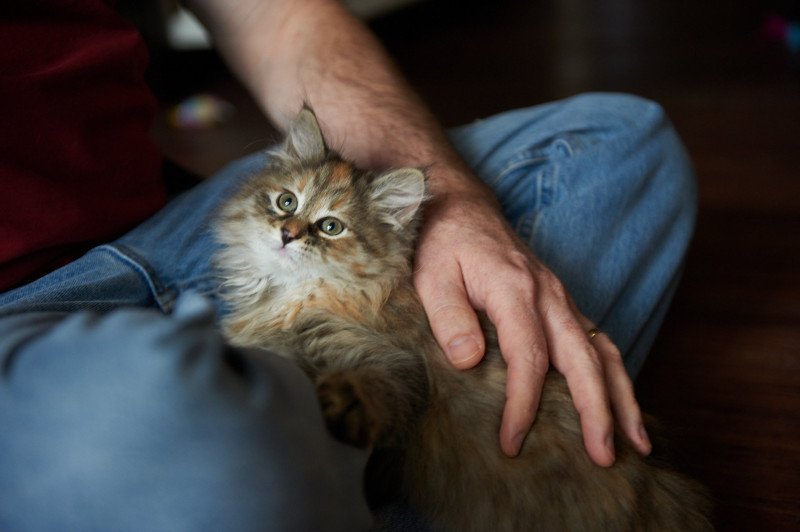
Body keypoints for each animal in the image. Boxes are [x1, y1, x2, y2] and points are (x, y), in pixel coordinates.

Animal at [214, 109, 712, 532]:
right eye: (286, 201)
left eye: (331, 227)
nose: (287, 233)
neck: (292, 294)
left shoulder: (391, 362)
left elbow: (372, 387)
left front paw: (342, 403)